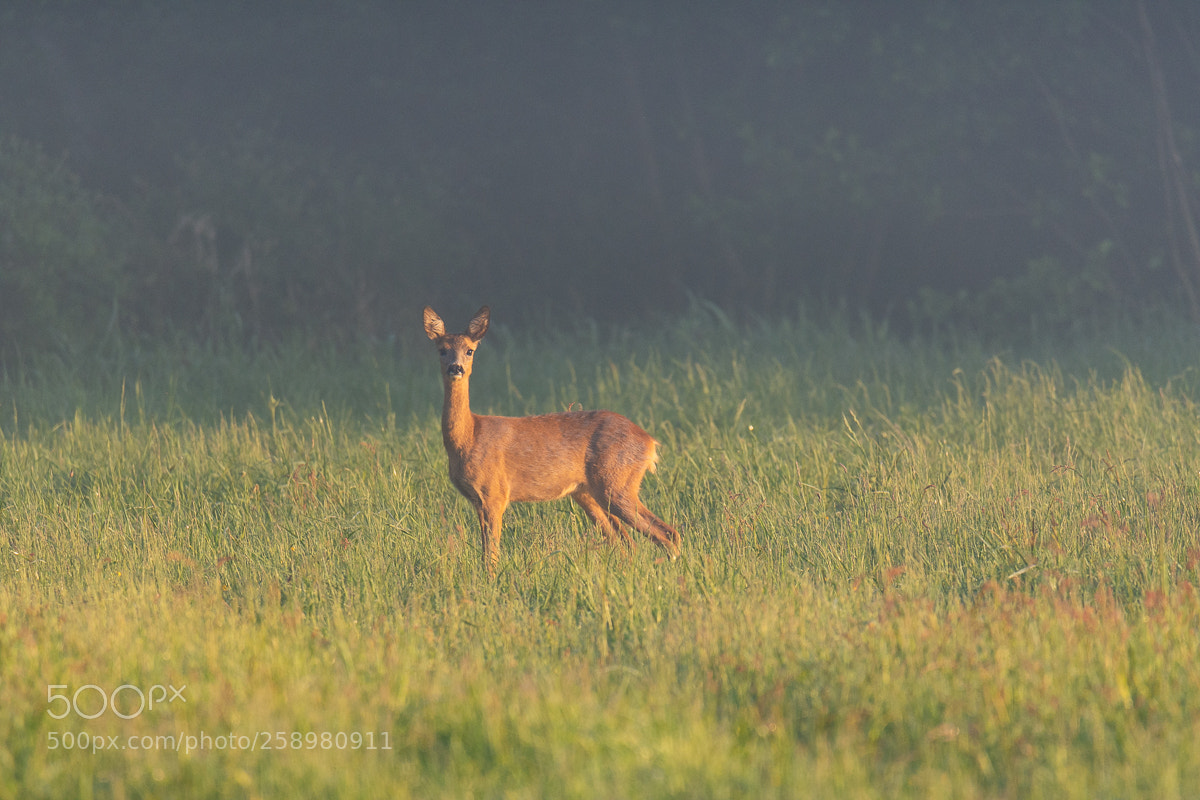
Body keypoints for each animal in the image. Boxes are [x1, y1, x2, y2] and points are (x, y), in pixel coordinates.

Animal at [423, 305, 682, 574]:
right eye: (442, 350)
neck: (468, 437)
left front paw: (491, 580)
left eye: (470, 350)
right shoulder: (479, 500)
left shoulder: (494, 493)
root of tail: (650, 443)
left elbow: (491, 555)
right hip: (588, 492)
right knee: (626, 542)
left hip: (617, 483)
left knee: (666, 533)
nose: (456, 368)